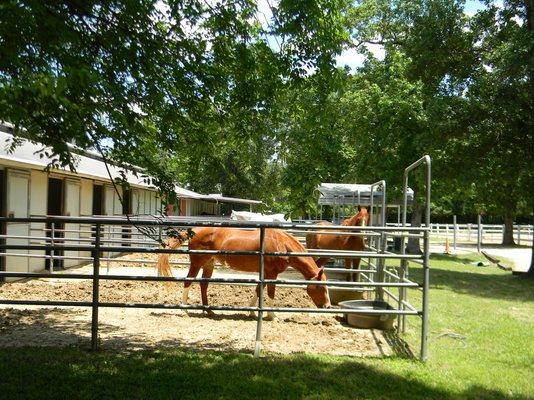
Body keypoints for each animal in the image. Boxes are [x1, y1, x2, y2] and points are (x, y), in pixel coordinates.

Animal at [157, 228, 330, 318]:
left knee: (203, 284)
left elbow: (258, 290)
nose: (327, 306)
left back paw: (209, 310)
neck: (282, 244)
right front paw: (272, 316)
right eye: (321, 287)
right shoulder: (271, 274)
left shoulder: (264, 274)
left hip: (208, 264)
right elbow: (270, 293)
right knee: (188, 281)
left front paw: (252, 312)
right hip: (197, 264)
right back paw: (184, 309)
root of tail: (196, 231)